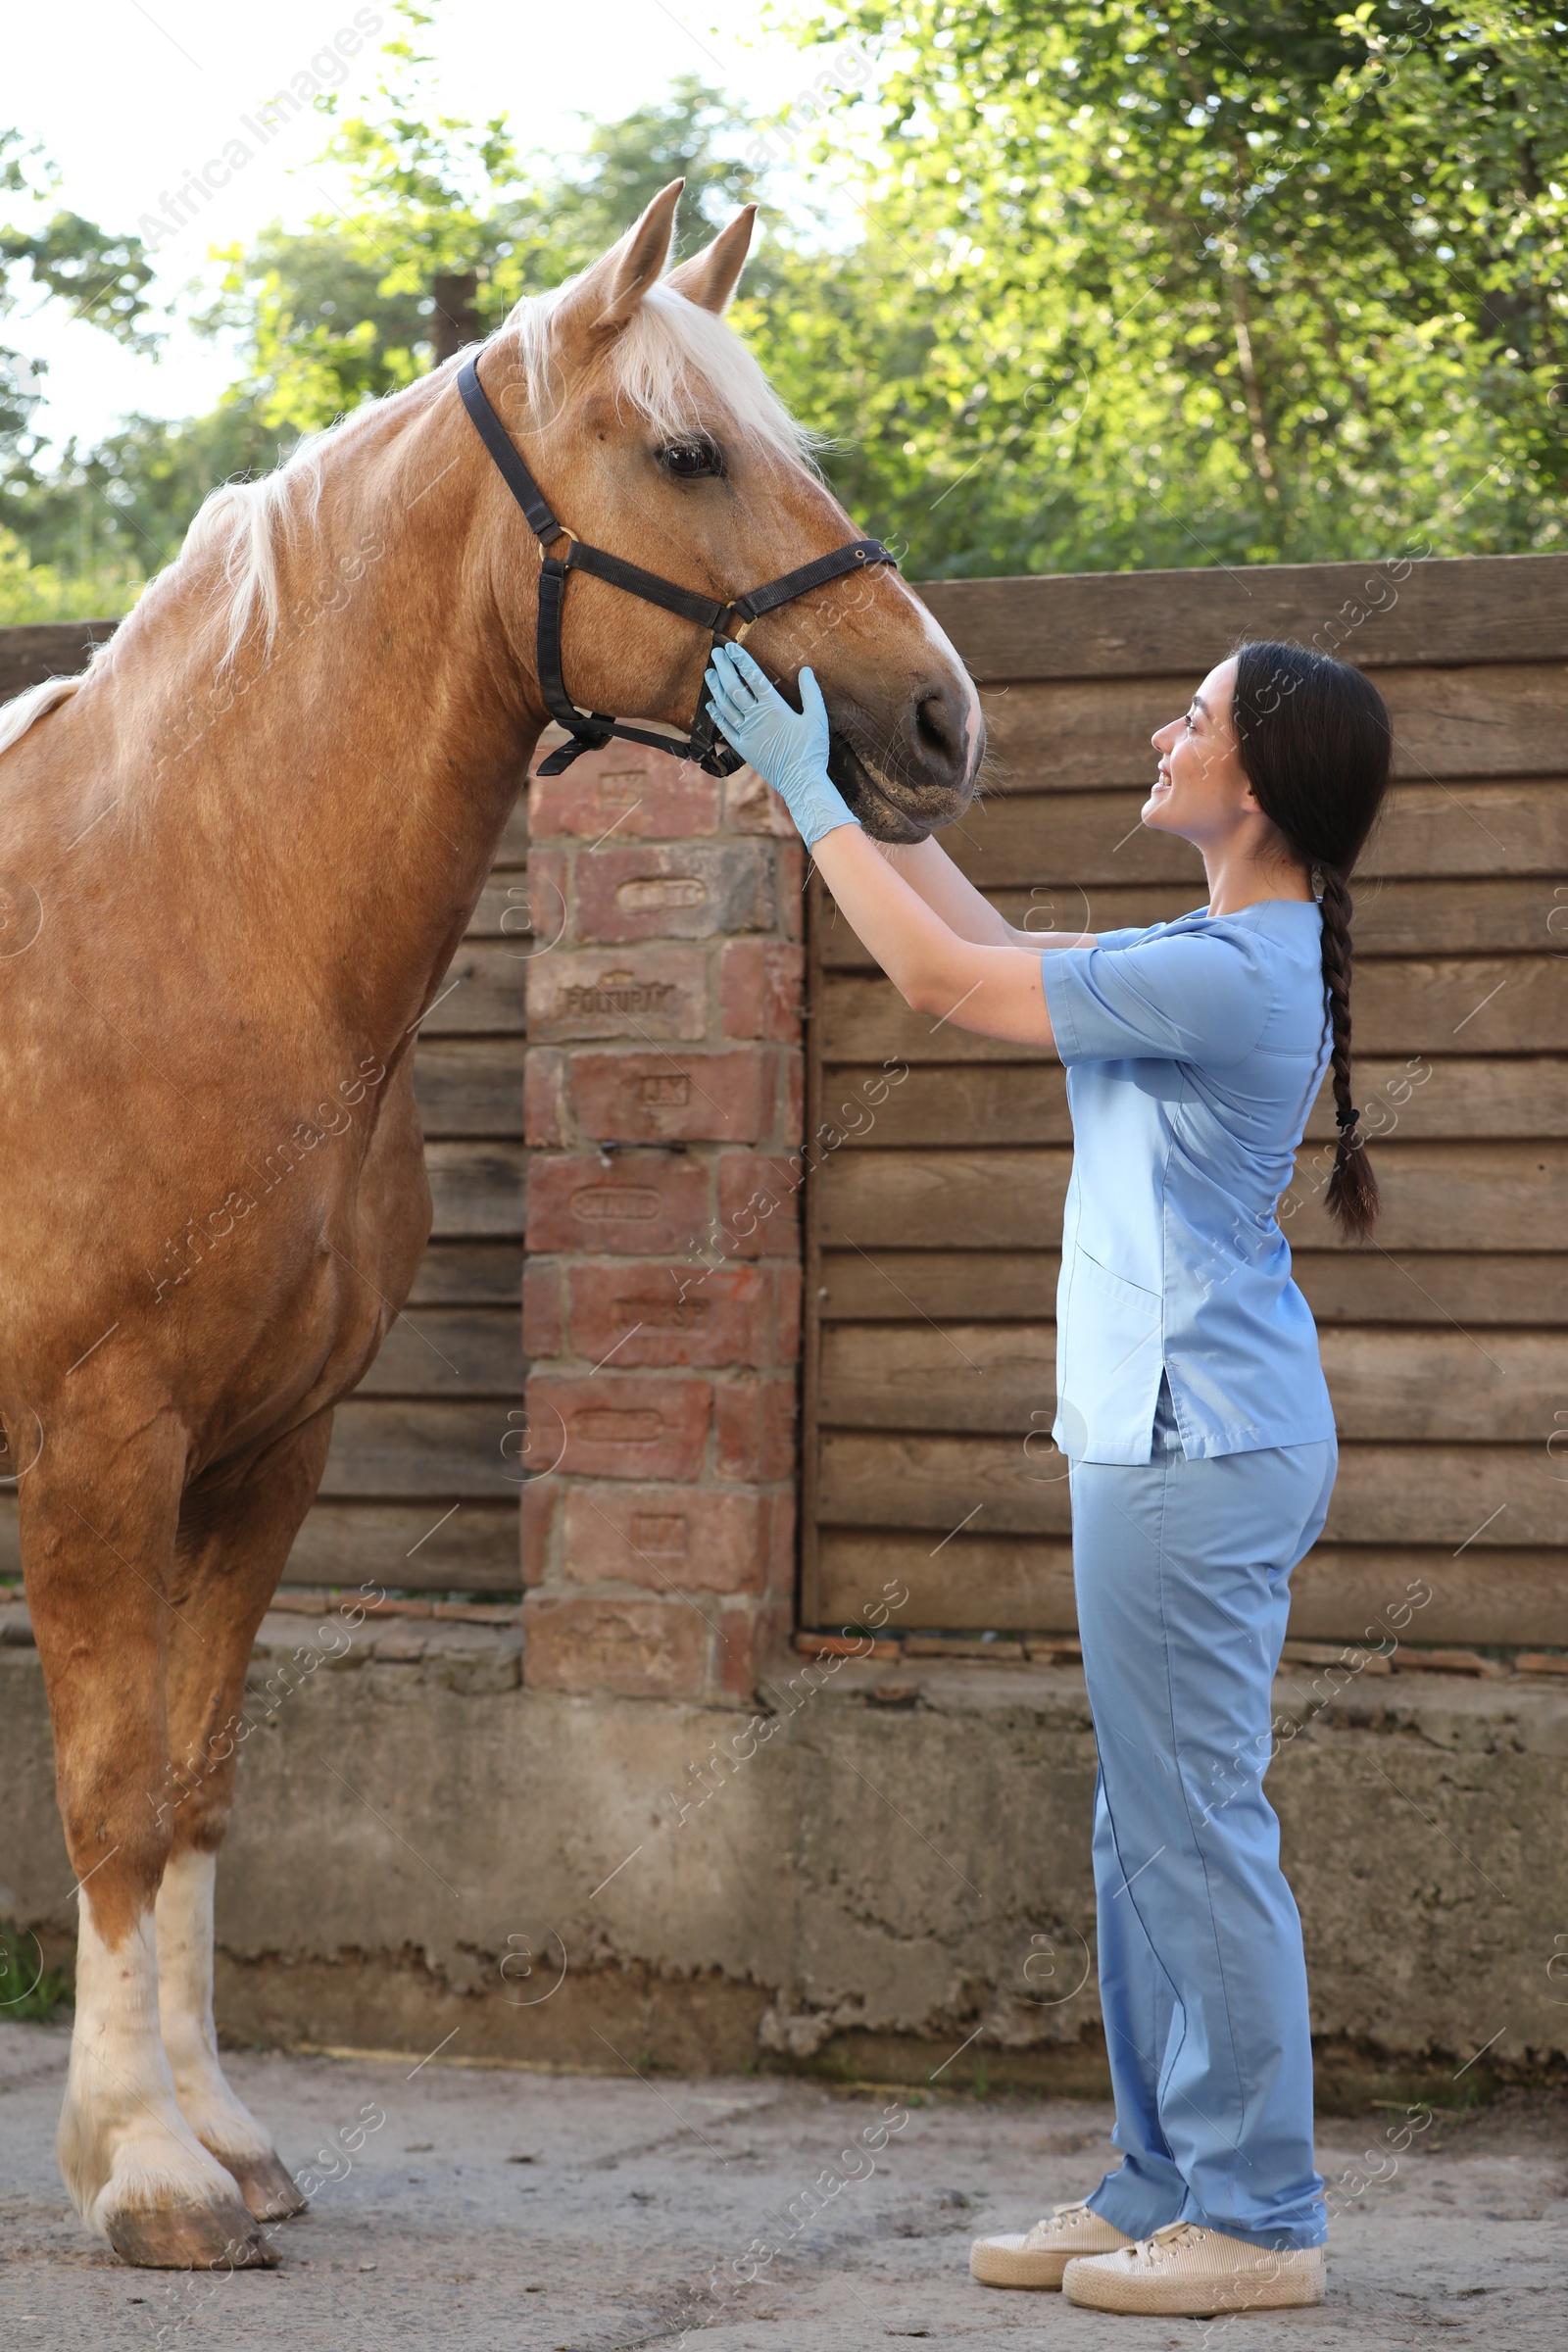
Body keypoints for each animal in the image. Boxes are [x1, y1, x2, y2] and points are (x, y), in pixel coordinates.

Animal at [0, 188, 982, 2277]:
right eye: (688, 453)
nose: (944, 718)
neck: (185, 913)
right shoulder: (103, 1447)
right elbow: (113, 1796)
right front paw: (142, 2171)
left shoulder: (267, 1455)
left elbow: (198, 1788)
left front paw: (219, 2135)